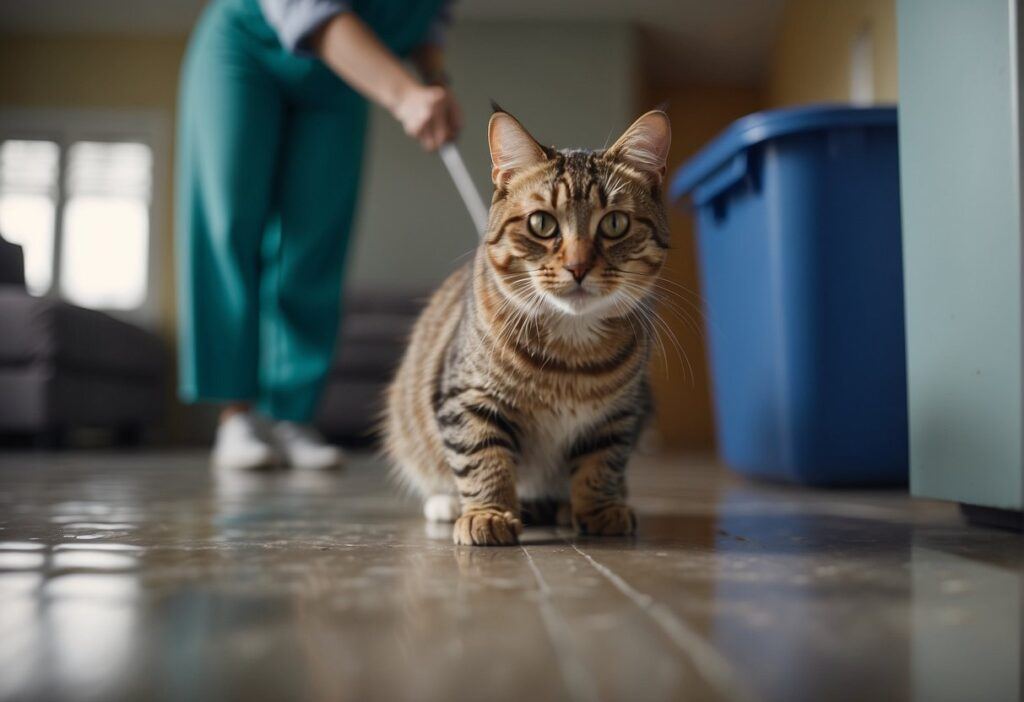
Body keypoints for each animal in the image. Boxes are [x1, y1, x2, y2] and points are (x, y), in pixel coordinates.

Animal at [385, 107, 671, 548]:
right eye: (542, 223)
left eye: (614, 224)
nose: (578, 266)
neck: (571, 350)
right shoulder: (467, 398)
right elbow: (483, 458)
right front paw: (487, 514)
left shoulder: (619, 413)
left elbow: (601, 462)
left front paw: (599, 510)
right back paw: (448, 503)